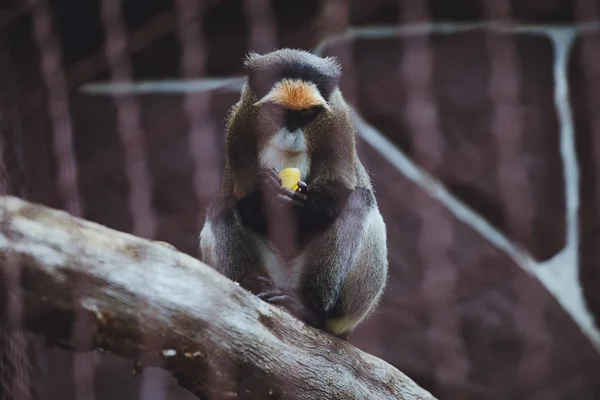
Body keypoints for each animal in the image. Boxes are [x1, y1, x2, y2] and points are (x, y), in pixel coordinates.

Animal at [200, 47, 390, 340]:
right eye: (278, 111)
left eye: (307, 114)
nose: (291, 132)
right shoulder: (239, 125)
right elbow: (243, 200)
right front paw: (267, 195)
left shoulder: (339, 124)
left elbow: (337, 193)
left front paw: (305, 205)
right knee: (221, 207)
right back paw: (250, 286)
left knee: (359, 202)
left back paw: (308, 308)